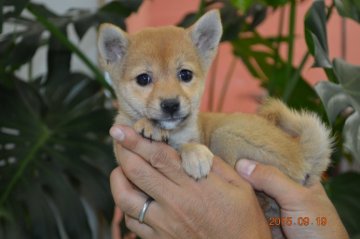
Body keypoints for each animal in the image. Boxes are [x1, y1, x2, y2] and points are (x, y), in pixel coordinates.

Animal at [97, 10, 332, 238]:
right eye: (143, 79)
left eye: (185, 74)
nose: (171, 104)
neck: (173, 134)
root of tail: (303, 153)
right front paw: (151, 126)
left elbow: (189, 144)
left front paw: (195, 153)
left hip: (224, 135)